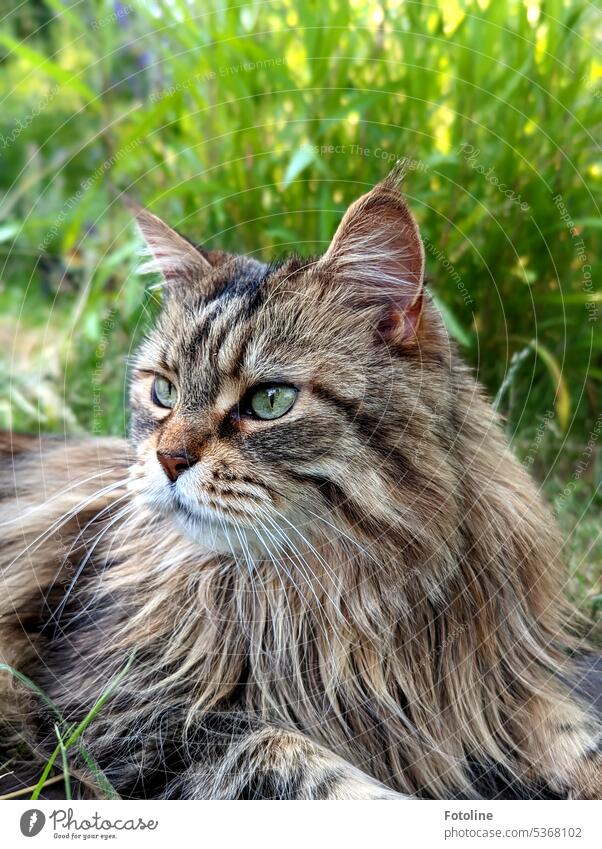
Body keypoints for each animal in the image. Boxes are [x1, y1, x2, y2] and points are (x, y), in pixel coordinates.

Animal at [0, 164, 596, 796]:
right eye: (163, 391)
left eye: (270, 401)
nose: (168, 460)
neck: (350, 592)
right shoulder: (118, 708)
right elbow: (308, 767)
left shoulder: (503, 686)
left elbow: (580, 741)